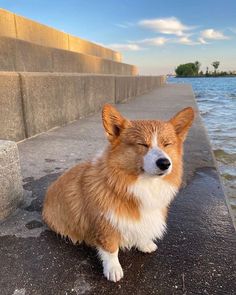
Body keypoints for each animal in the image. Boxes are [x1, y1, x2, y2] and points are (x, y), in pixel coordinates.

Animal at [42, 104, 194, 282]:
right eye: (142, 144)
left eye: (167, 144)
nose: (164, 163)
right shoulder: (104, 223)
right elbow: (110, 249)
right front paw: (113, 269)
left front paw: (144, 243)